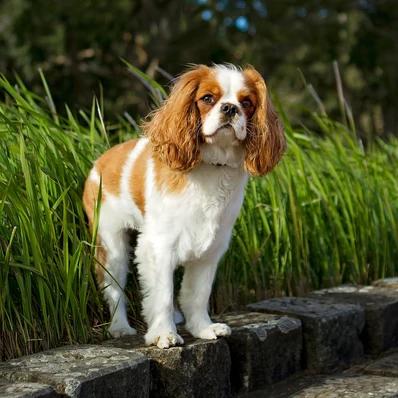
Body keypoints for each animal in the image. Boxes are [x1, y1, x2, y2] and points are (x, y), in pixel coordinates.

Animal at [82, 63, 284, 348]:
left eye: (247, 103)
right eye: (207, 98)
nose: (230, 108)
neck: (213, 166)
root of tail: (100, 162)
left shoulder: (211, 249)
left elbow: (197, 294)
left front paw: (203, 328)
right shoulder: (159, 245)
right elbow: (163, 294)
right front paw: (163, 333)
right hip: (111, 245)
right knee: (114, 288)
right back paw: (120, 327)